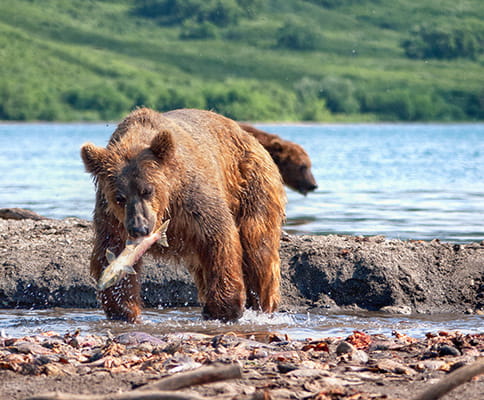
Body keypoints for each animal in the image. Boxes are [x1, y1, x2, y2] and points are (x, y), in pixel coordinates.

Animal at [82, 107, 288, 322]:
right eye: (119, 197)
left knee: (258, 247)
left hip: (252, 183)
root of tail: (249, 136)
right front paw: (123, 308)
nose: (139, 228)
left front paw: (226, 307)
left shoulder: (193, 198)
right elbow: (111, 250)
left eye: (148, 190)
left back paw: (262, 305)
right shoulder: (111, 216)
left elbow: (218, 238)